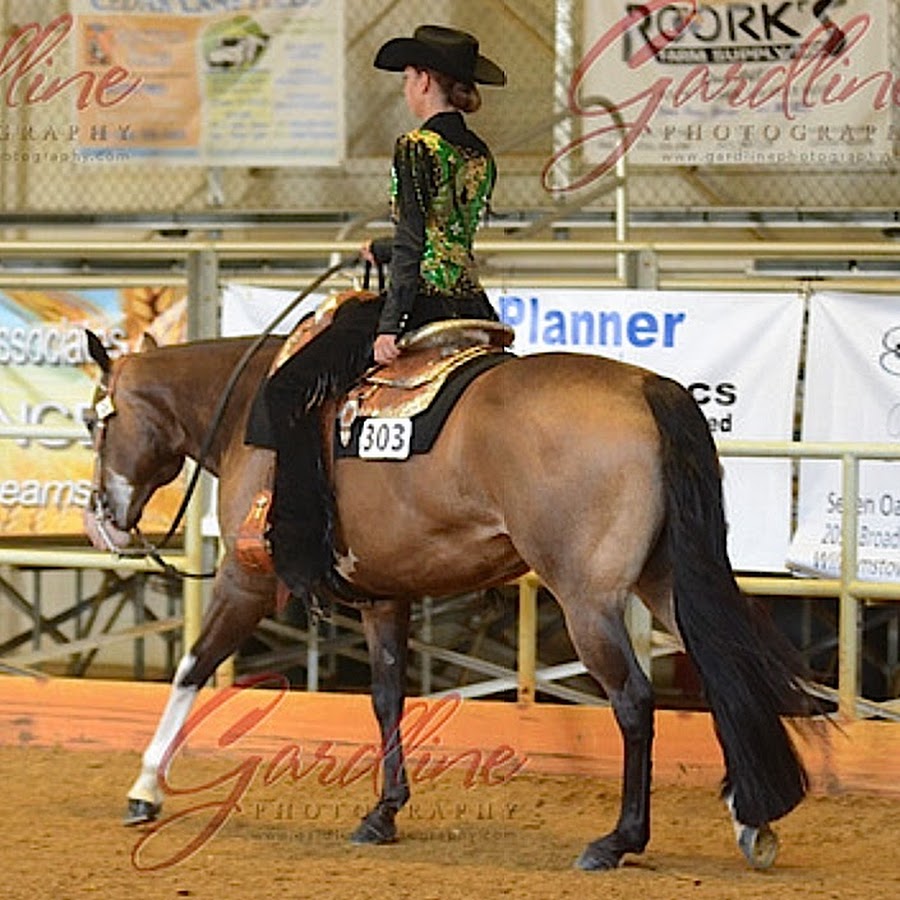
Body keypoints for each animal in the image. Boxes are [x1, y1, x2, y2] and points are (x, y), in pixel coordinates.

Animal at [82, 323, 814, 871]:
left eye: (97, 421)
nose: (103, 518)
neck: (247, 414)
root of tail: (646, 386)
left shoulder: (246, 579)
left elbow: (193, 668)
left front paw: (144, 790)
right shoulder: (383, 595)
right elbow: (386, 698)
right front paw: (382, 813)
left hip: (588, 600)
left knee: (634, 701)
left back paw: (617, 840)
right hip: (664, 580)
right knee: (725, 673)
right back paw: (751, 819)